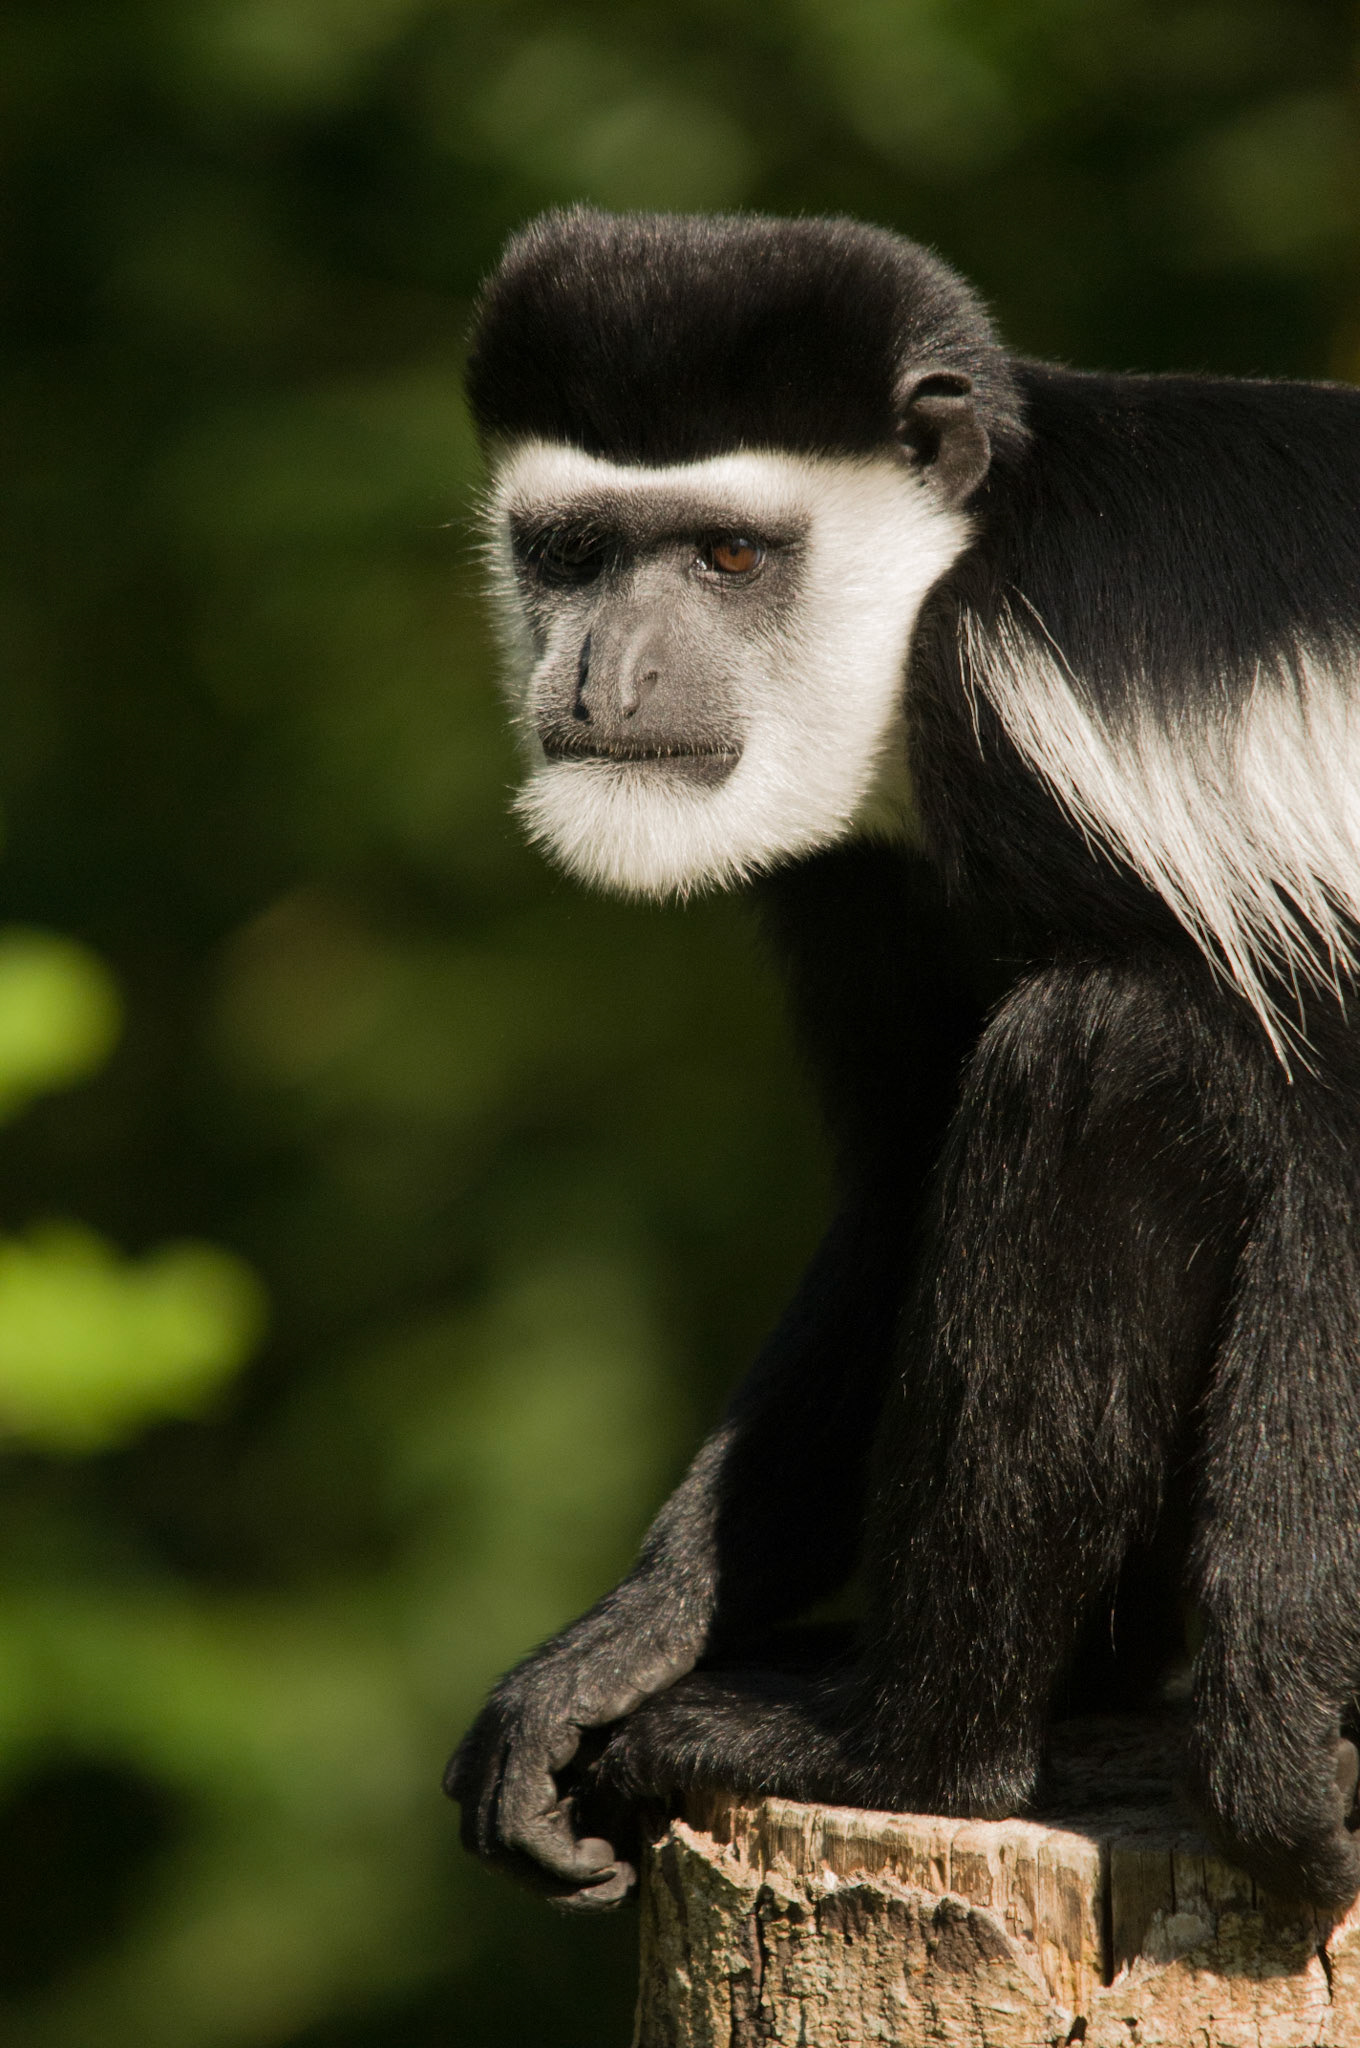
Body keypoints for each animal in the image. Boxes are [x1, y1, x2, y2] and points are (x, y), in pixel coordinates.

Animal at [446, 207, 1360, 1914]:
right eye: (574, 553)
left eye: (730, 557)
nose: (599, 680)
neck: (941, 586)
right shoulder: (867, 871)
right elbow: (893, 1182)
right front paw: (614, 1653)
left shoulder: (1027, 700)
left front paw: (1273, 1750)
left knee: (1109, 1050)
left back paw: (914, 1756)